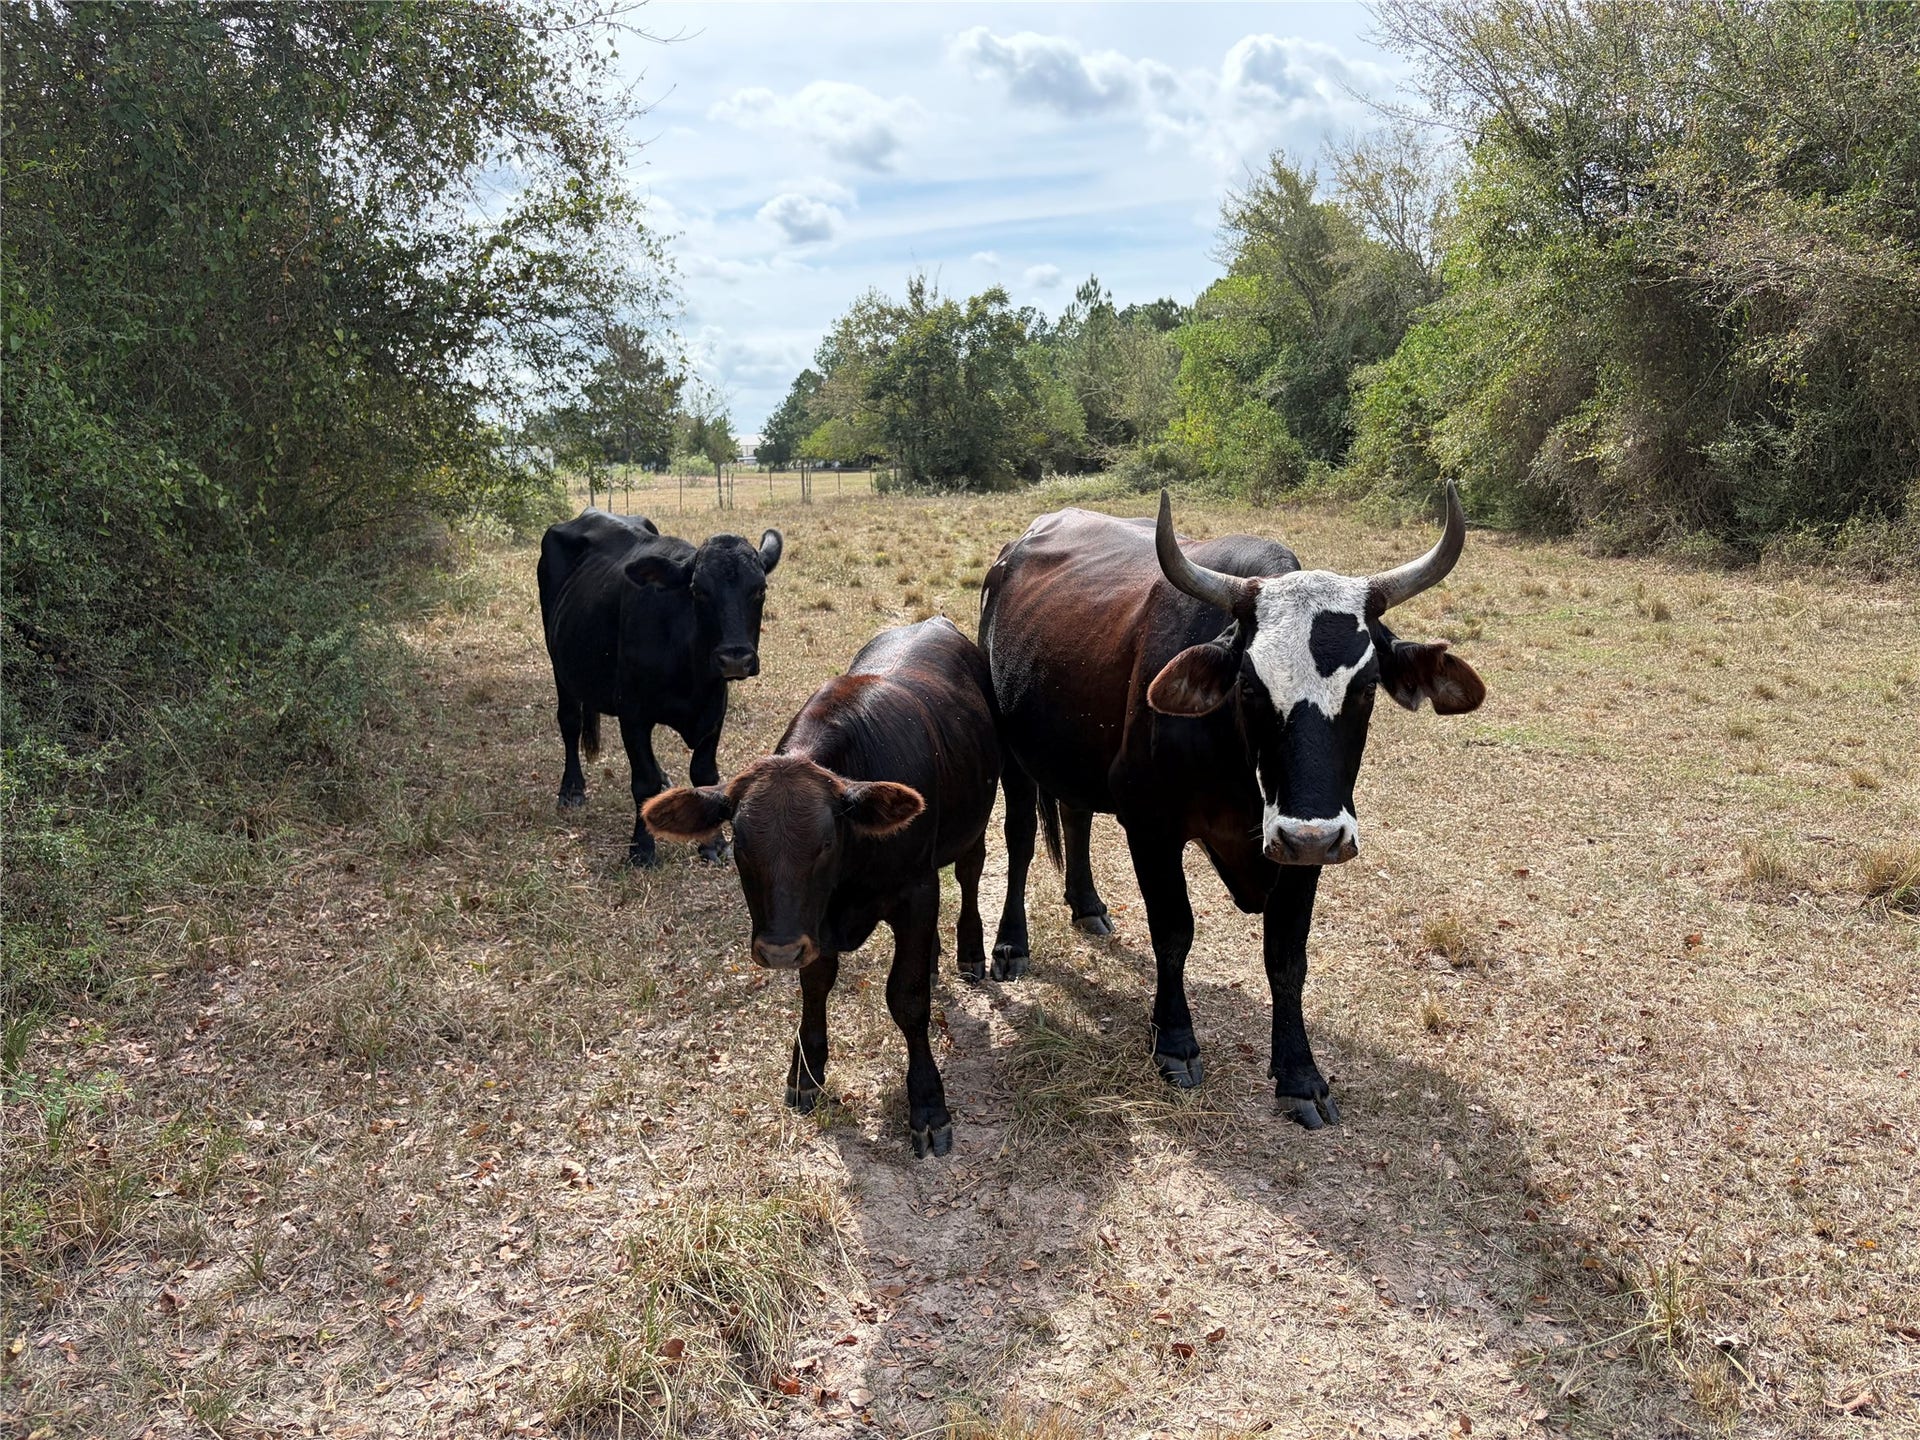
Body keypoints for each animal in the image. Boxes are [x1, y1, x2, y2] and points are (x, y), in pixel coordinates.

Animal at [537, 509, 782, 867]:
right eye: (698, 590)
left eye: (760, 590)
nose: (735, 658)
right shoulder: (633, 713)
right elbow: (643, 780)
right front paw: (642, 848)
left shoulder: (715, 710)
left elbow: (704, 775)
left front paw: (713, 843)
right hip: (560, 662)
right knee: (570, 721)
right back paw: (571, 789)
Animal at [643, 617, 1000, 1158]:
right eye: (739, 843)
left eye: (826, 842)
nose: (777, 950)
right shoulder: (813, 927)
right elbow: (815, 984)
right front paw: (805, 1072)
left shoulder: (913, 892)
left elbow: (908, 997)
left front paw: (928, 1103)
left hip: (975, 825)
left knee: (969, 875)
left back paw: (969, 953)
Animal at [980, 484, 1484, 1128]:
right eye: (1249, 686)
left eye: (1367, 686)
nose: (1311, 835)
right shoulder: (1152, 827)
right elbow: (1173, 932)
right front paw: (1174, 1042)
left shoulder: (1304, 848)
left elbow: (1287, 957)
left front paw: (1300, 1073)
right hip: (1011, 753)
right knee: (1020, 840)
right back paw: (1010, 944)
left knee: (1076, 814)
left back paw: (1087, 906)